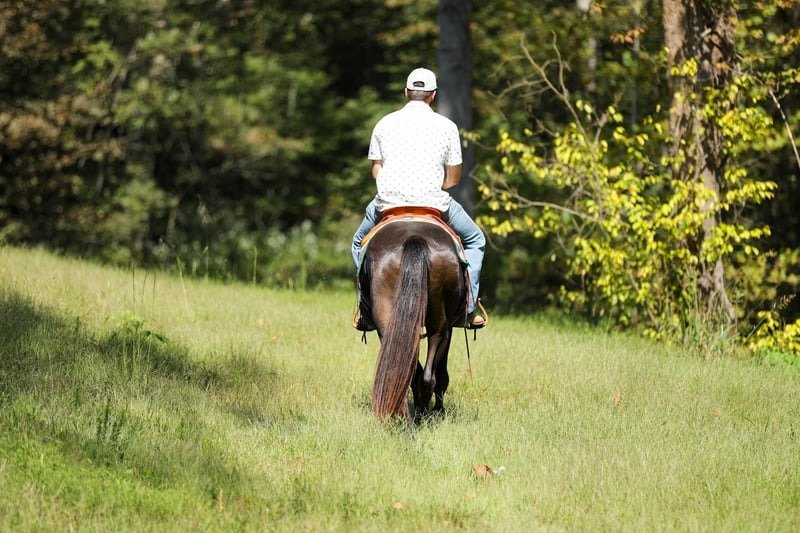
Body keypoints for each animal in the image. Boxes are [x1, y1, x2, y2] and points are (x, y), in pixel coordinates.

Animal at [359, 218, 467, 421]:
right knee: (430, 372)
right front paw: (438, 410)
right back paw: (424, 413)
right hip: (440, 325)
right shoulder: (449, 328)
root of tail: (414, 237)